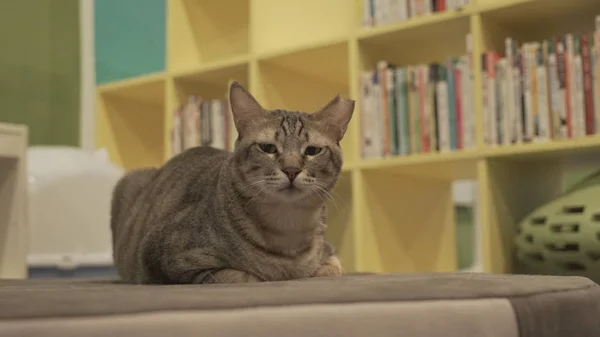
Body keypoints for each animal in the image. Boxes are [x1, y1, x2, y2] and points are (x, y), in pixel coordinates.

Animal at [110, 81, 354, 284]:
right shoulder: (168, 258)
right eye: (268, 148)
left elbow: (332, 266)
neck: (287, 228)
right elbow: (243, 276)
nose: (292, 170)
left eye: (313, 151)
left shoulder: (329, 254)